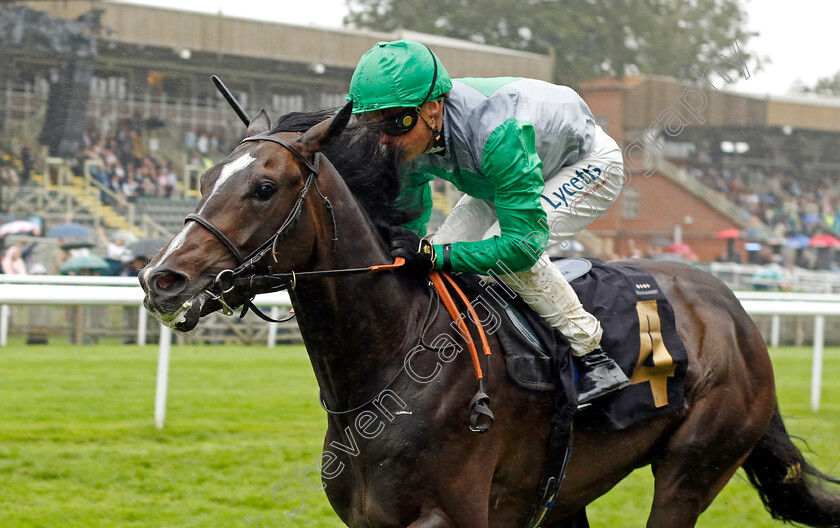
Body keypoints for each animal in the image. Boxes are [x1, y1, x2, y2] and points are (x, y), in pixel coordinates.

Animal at [138, 104, 840, 528]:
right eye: (203, 177)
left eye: (264, 187)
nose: (160, 279)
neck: (391, 370)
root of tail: (733, 310)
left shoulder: (452, 514)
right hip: (567, 489)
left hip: (693, 467)